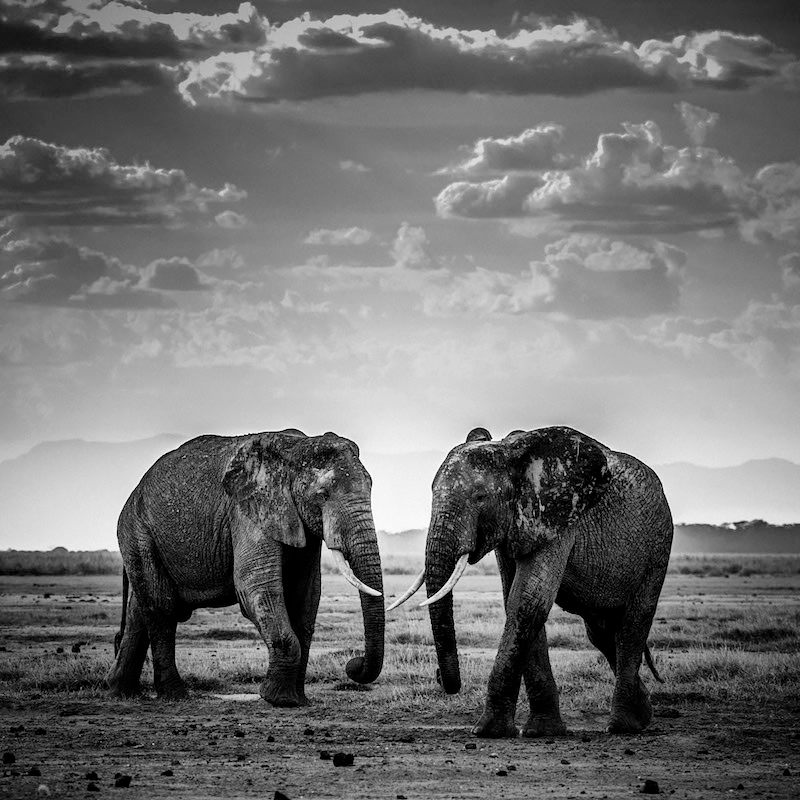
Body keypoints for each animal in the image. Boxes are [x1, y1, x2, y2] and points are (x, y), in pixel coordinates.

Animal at [106, 428, 384, 704]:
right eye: (322, 495)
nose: (352, 665)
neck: (296, 448)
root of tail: (135, 490)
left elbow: (307, 595)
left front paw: (298, 700)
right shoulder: (246, 512)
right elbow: (255, 586)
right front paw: (278, 699)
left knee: (140, 610)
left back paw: (121, 691)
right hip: (138, 531)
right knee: (161, 608)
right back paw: (175, 695)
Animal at [390, 424, 672, 736]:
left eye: (480, 497)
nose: (440, 677)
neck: (512, 454)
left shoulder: (559, 518)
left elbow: (528, 602)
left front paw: (488, 731)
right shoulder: (514, 525)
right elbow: (517, 600)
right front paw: (542, 731)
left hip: (657, 547)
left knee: (633, 624)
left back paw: (623, 726)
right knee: (601, 632)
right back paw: (642, 715)